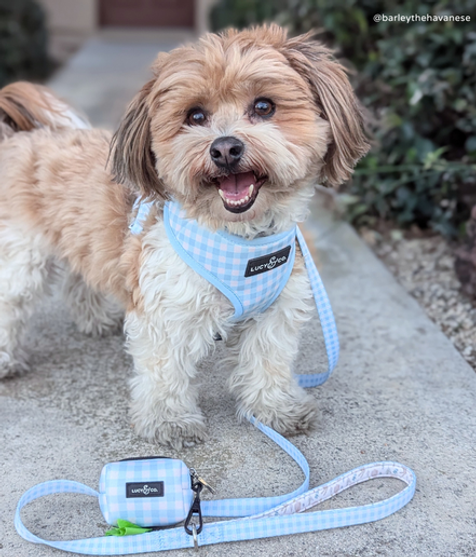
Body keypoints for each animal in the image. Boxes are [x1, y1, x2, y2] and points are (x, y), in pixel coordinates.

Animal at [0, 24, 368, 449]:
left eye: (264, 107)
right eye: (195, 115)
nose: (224, 148)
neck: (240, 239)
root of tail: (27, 136)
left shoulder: (275, 312)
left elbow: (268, 362)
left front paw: (275, 409)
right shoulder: (166, 313)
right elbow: (165, 371)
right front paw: (168, 420)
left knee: (81, 278)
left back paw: (95, 317)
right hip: (21, 256)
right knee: (11, 302)